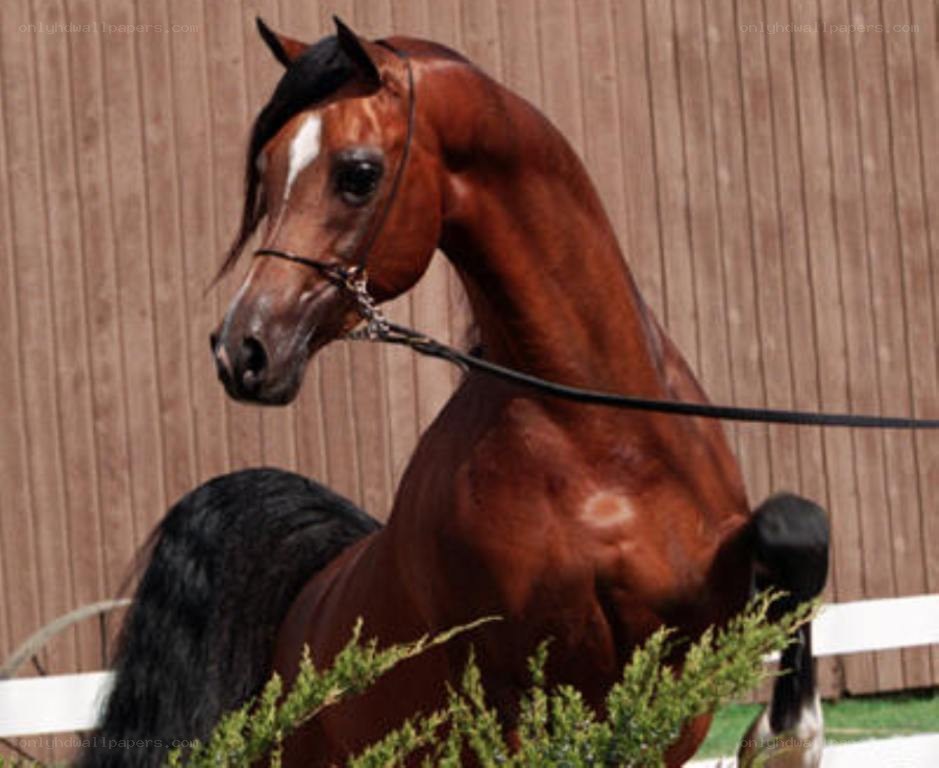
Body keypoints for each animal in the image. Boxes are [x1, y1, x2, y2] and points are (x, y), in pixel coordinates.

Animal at [83, 18, 829, 767]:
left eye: (358, 174)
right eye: (265, 172)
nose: (242, 349)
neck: (598, 442)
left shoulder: (693, 630)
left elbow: (796, 531)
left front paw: (786, 734)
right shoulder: (520, 675)